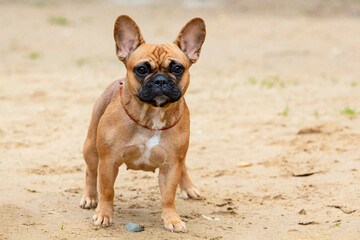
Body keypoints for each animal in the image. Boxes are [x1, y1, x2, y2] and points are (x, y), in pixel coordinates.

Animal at [80, 15, 207, 232]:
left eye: (177, 68)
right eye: (141, 69)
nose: (160, 80)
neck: (152, 116)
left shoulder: (171, 164)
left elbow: (168, 196)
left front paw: (172, 219)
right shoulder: (109, 161)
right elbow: (107, 190)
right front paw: (104, 214)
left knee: (184, 166)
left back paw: (189, 187)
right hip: (91, 147)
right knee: (91, 172)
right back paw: (89, 198)